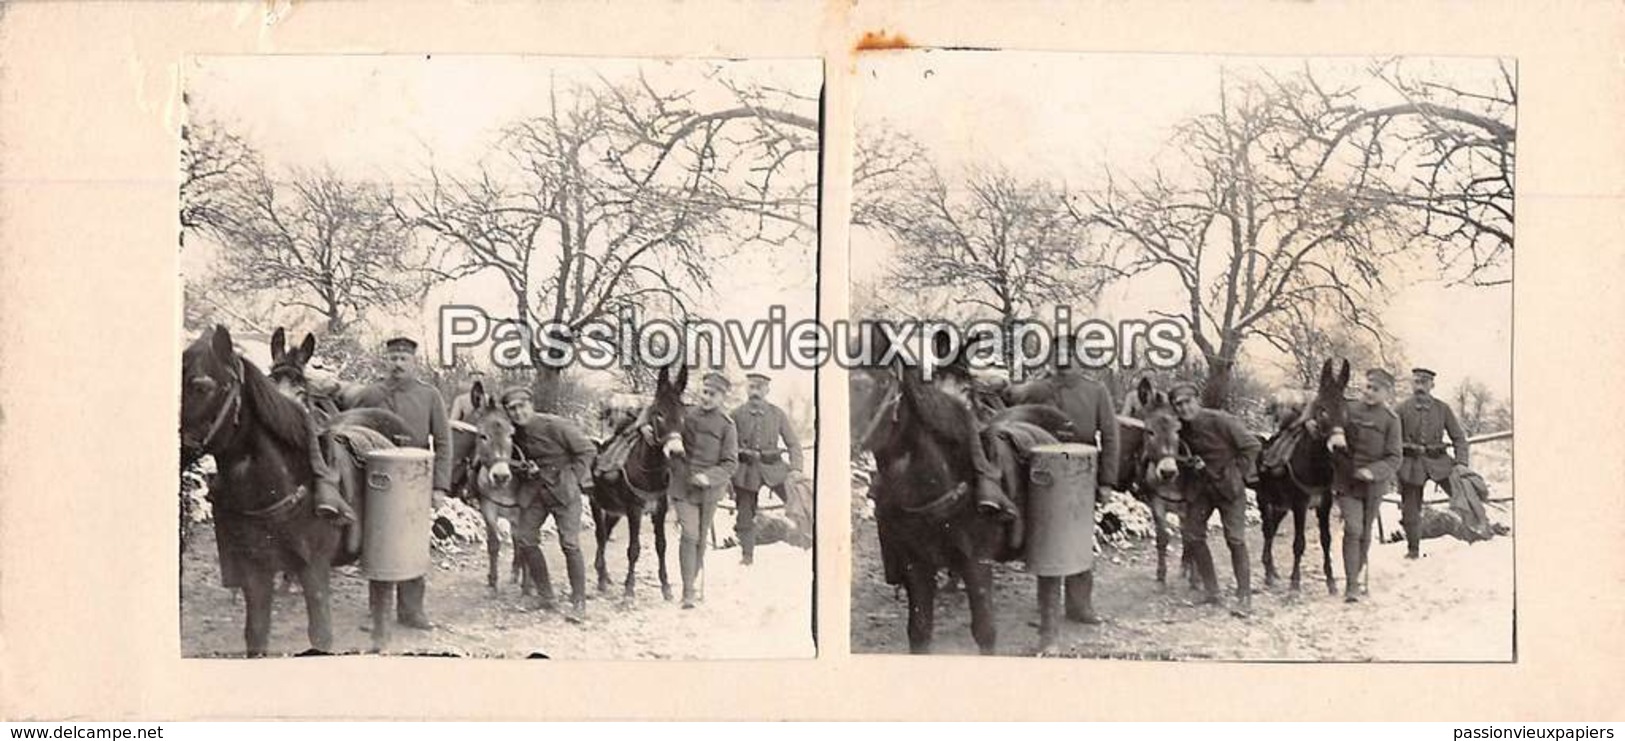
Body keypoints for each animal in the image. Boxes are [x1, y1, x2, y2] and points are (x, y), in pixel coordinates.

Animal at [182, 325, 357, 653]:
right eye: (272, 380)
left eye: (201, 387)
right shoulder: (255, 569)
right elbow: (256, 633)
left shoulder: (315, 568)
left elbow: (320, 634)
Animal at [588, 364, 682, 601]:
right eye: (659, 414)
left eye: (683, 414)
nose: (676, 452)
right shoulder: (634, 510)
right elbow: (634, 549)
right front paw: (629, 590)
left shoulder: (659, 509)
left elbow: (661, 546)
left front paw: (666, 587)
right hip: (596, 503)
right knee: (600, 536)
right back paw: (601, 578)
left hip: (614, 511)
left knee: (606, 534)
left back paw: (604, 575)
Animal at [1248, 355, 1352, 594]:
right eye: (1322, 410)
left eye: (1344, 410)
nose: (1339, 447)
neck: (1314, 464)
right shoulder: (1300, 505)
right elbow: (1299, 543)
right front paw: (1295, 583)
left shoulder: (1324, 505)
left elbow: (1326, 540)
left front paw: (1331, 582)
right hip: (1264, 499)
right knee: (1267, 530)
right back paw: (1269, 573)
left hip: (1281, 506)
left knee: (1272, 530)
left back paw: (1271, 570)